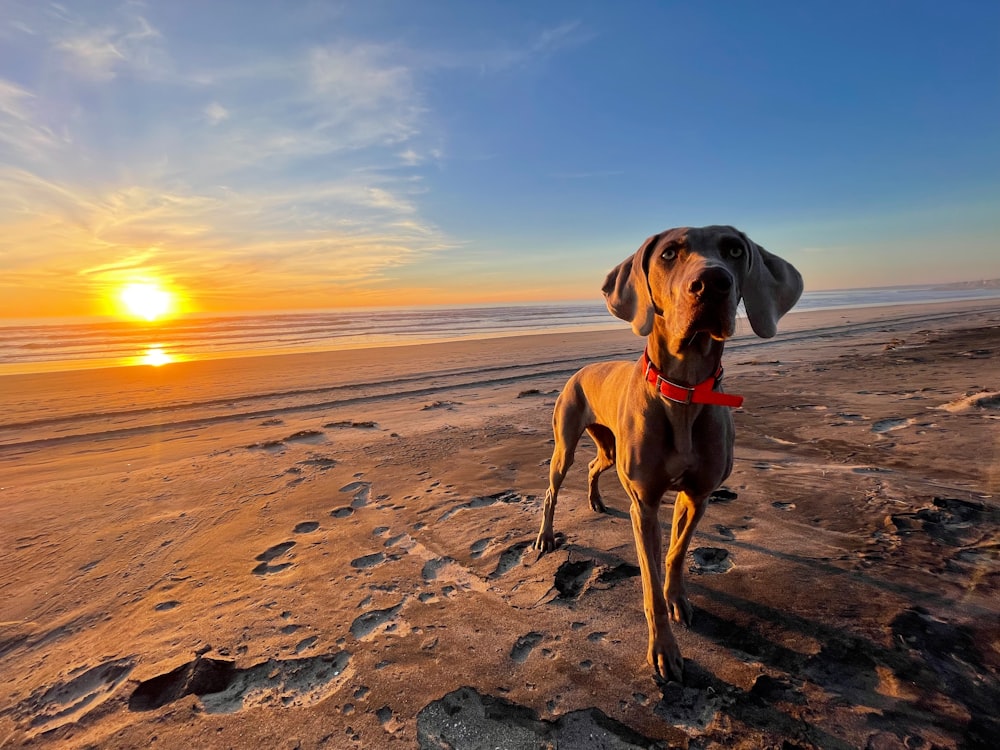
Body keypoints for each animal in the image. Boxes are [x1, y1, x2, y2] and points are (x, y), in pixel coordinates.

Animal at [532, 226, 804, 684]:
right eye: (669, 254)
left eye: (734, 249)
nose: (713, 283)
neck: (685, 389)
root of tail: (581, 370)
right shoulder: (643, 503)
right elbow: (650, 575)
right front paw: (664, 650)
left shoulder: (696, 494)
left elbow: (676, 553)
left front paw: (676, 596)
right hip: (564, 440)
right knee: (554, 488)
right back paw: (546, 536)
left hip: (609, 449)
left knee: (593, 465)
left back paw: (595, 500)